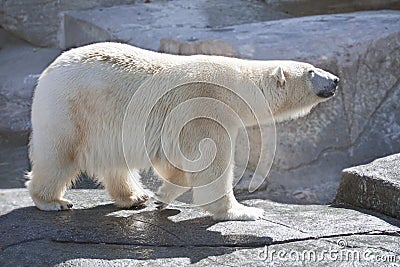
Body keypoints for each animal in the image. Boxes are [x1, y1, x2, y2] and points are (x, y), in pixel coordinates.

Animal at [25, 42, 338, 222]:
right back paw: (53, 201)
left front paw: (162, 196)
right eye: (312, 71)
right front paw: (244, 211)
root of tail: (48, 72)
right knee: (57, 155)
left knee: (115, 160)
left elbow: (179, 164)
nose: (335, 79)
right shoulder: (206, 107)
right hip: (69, 109)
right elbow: (211, 164)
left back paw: (135, 197)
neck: (237, 86)